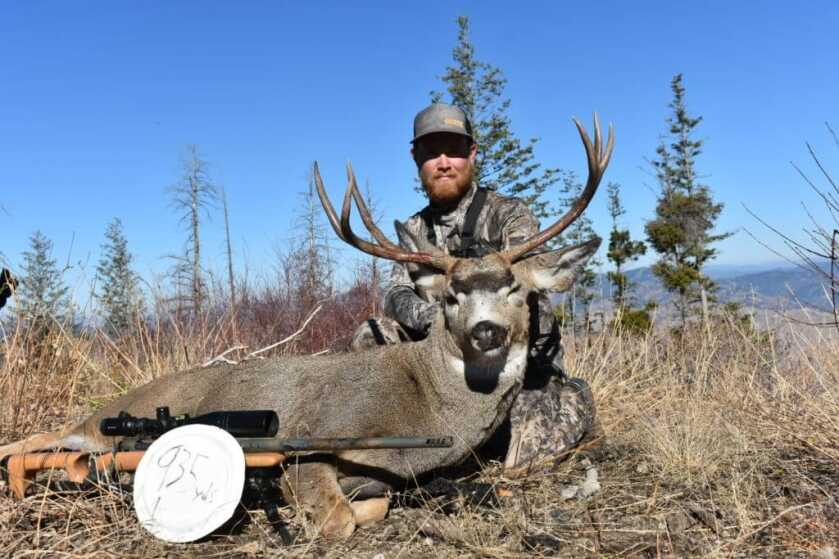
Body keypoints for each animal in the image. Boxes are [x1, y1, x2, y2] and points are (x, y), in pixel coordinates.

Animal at [0, 117, 613, 539]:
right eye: (452, 296)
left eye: (516, 290)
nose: (487, 332)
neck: (427, 405)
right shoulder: (317, 440)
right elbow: (341, 519)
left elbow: (375, 504)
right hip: (109, 419)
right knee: (39, 442)